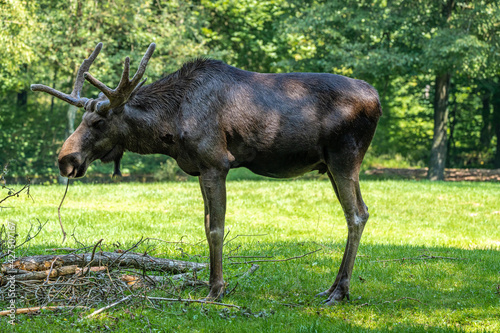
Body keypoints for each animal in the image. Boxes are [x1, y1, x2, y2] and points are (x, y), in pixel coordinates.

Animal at [31, 42, 380, 304]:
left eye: (99, 122)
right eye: (82, 120)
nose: (66, 159)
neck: (169, 126)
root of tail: (377, 100)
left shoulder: (216, 163)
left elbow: (216, 229)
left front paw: (216, 290)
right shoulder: (198, 168)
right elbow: (205, 224)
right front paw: (210, 284)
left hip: (344, 157)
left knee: (356, 214)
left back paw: (340, 292)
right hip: (330, 165)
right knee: (360, 211)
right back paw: (333, 287)